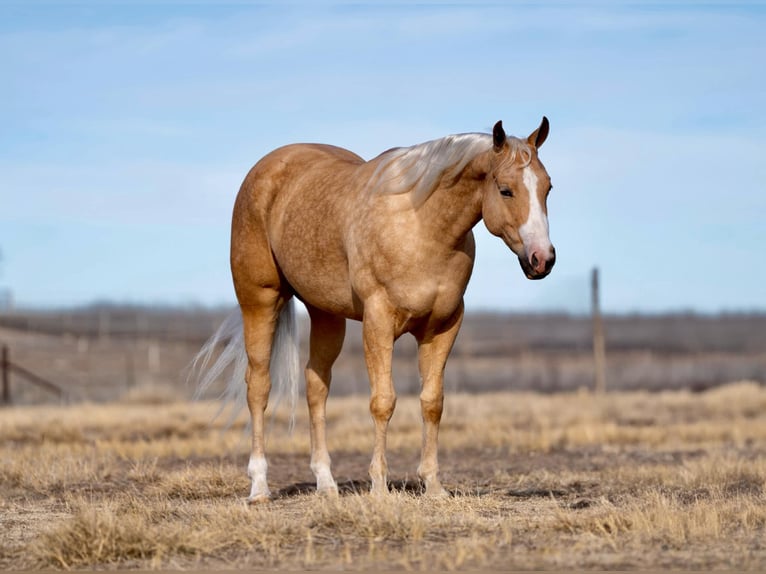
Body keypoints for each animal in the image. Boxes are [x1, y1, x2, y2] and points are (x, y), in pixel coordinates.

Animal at [194, 117, 555, 502]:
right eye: (505, 190)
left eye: (548, 187)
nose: (542, 259)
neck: (421, 227)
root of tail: (265, 169)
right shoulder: (378, 321)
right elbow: (383, 401)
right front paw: (379, 487)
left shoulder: (443, 326)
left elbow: (432, 402)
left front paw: (433, 486)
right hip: (260, 300)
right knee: (259, 386)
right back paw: (260, 486)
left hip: (326, 314)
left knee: (315, 386)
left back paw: (326, 484)